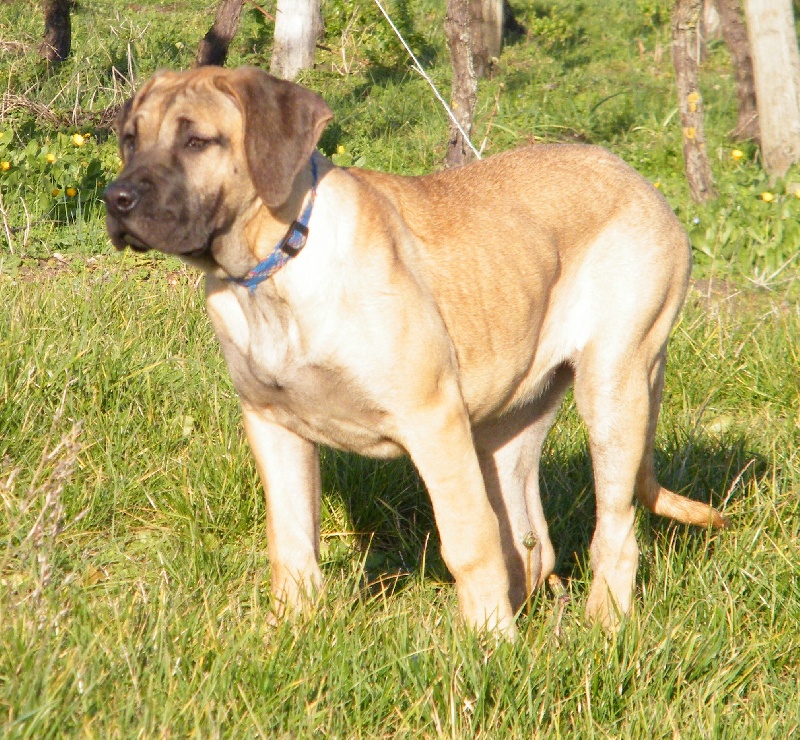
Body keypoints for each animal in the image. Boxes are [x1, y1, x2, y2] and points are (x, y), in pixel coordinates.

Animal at [103, 68, 728, 636]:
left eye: (197, 141)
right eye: (130, 138)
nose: (116, 198)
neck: (277, 267)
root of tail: (637, 179)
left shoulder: (434, 422)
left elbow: (469, 541)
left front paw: (489, 648)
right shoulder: (273, 425)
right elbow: (292, 543)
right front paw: (290, 634)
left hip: (614, 389)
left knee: (614, 532)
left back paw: (600, 628)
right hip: (508, 426)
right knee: (530, 542)